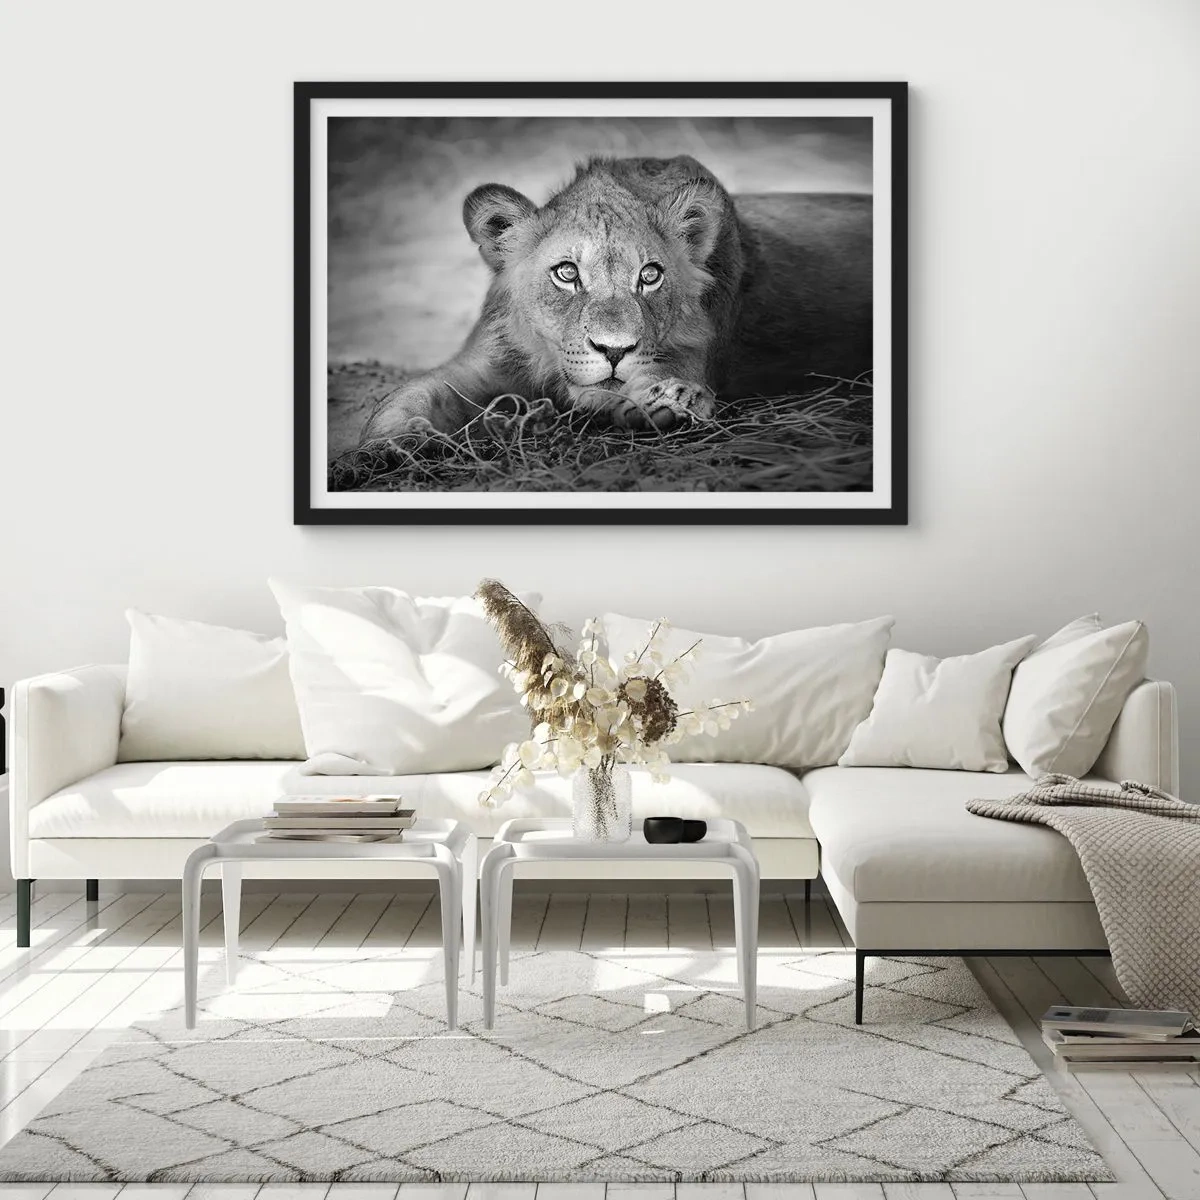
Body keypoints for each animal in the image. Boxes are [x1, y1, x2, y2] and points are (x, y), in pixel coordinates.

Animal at [360, 154, 872, 440]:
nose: (614, 350)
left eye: (650, 275)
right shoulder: (483, 362)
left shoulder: (692, 353)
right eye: (567, 273)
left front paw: (669, 401)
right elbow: (409, 393)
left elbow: (650, 381)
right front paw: (395, 440)